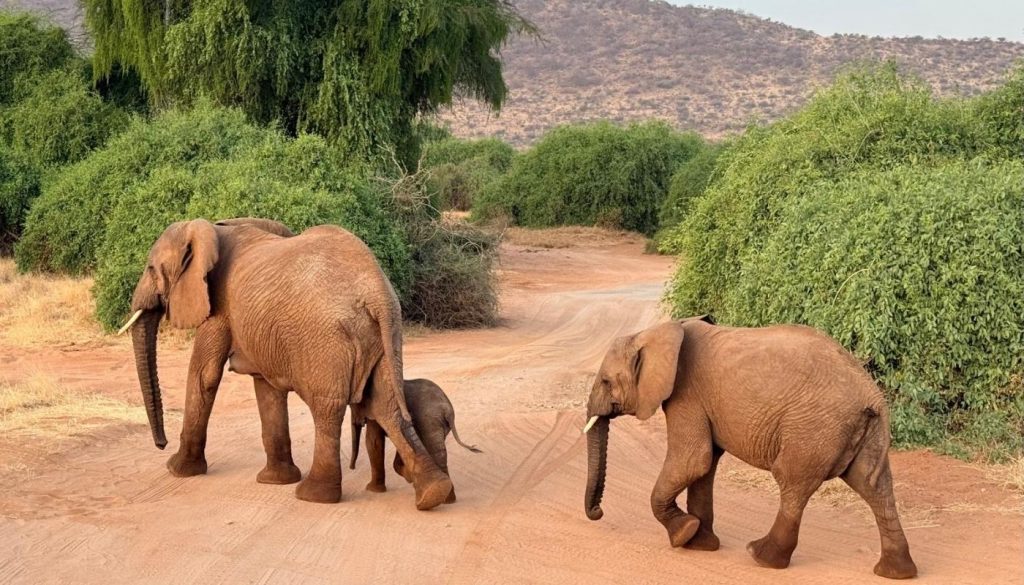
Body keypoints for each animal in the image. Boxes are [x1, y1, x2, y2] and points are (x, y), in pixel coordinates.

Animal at [120, 217, 453, 510]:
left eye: (151, 268)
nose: (161, 444)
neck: (212, 227)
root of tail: (378, 294)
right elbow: (266, 388)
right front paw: (275, 480)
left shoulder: (219, 306)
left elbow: (205, 375)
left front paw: (177, 470)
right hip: (386, 338)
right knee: (388, 406)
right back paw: (433, 494)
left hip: (326, 340)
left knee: (327, 408)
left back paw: (313, 496)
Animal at [349, 378, 481, 503]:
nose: (352, 467)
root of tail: (448, 410)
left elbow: (374, 441)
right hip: (437, 423)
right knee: (439, 452)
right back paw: (448, 499)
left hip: (430, 421)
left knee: (435, 450)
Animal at [582, 316, 917, 579]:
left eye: (606, 381)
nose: (598, 511)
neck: (656, 332)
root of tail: (872, 395)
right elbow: (705, 466)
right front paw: (701, 544)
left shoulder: (686, 395)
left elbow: (693, 460)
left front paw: (683, 535)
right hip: (862, 431)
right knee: (874, 487)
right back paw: (896, 572)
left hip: (814, 427)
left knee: (793, 482)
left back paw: (761, 556)